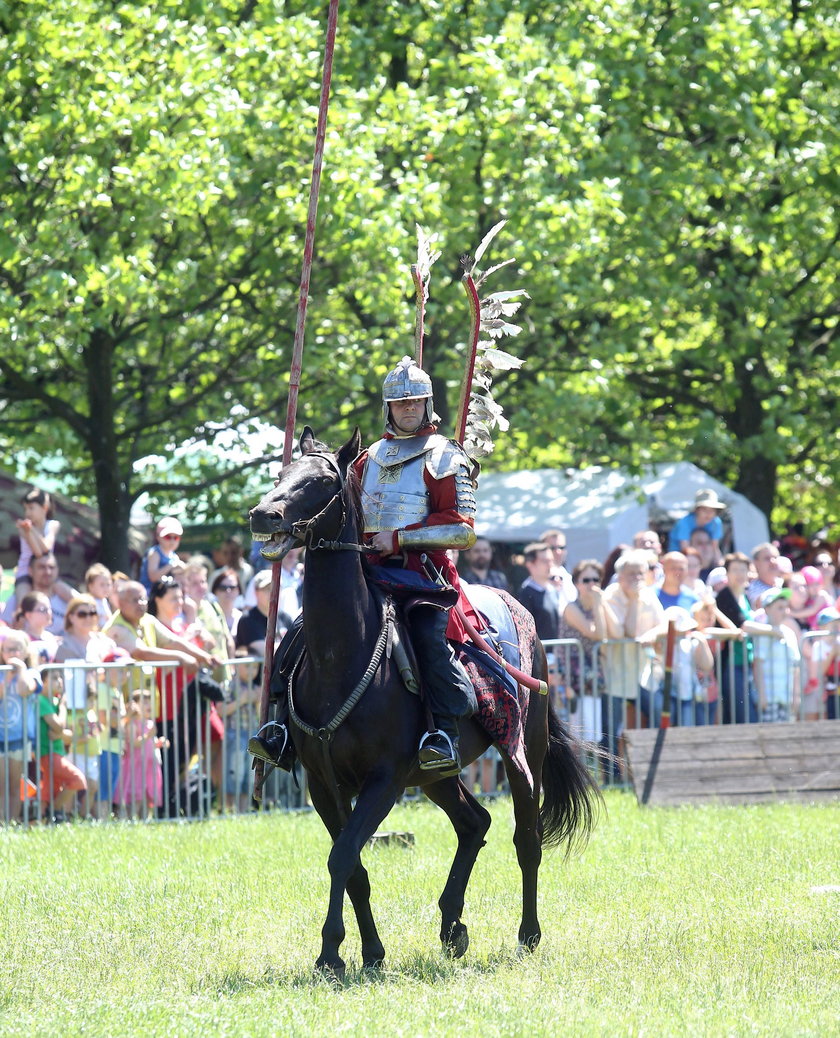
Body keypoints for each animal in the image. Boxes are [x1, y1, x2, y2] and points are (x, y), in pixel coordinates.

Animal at [249, 425, 598, 975]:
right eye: (281, 473)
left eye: (321, 481)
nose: (264, 515)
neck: (342, 653)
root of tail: (519, 609)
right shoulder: (325, 784)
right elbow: (353, 865)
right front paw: (369, 953)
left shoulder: (385, 780)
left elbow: (343, 856)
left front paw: (330, 953)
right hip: (435, 775)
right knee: (474, 824)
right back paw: (453, 927)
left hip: (524, 752)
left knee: (526, 839)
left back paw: (527, 935)